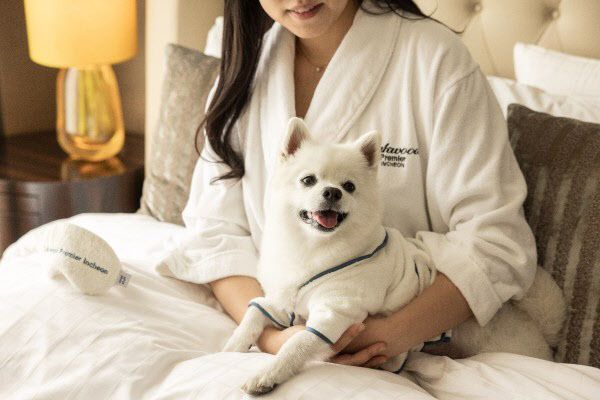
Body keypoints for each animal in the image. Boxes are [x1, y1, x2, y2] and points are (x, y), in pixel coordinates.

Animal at [223, 117, 566, 395]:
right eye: (308, 180)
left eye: (349, 186)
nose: (333, 192)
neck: (313, 248)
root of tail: (545, 335)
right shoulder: (285, 303)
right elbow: (255, 313)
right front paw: (233, 346)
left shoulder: (337, 315)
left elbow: (296, 344)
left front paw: (268, 374)